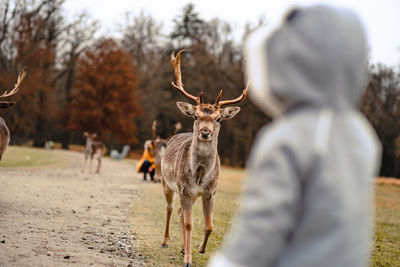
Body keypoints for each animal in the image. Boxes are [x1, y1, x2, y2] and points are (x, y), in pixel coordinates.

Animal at [160, 50, 247, 267]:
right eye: (195, 116)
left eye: (218, 118)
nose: (205, 132)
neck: (199, 176)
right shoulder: (184, 189)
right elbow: (190, 224)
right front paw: (188, 260)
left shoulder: (210, 193)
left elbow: (209, 226)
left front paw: (199, 249)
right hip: (166, 183)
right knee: (170, 209)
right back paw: (166, 242)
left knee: (180, 213)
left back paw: (183, 247)